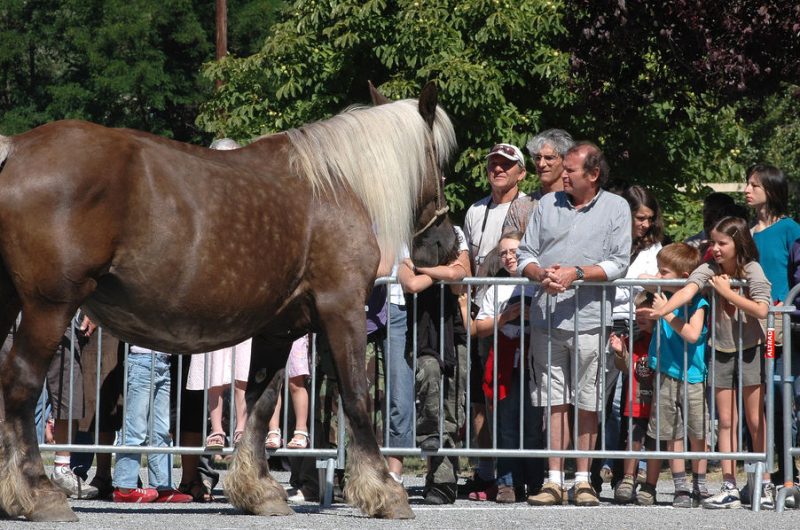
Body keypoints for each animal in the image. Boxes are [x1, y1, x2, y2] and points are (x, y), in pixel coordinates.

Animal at [0, 83, 456, 520]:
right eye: (442, 162)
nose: (445, 244)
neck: (337, 186)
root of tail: (16, 148)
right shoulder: (341, 307)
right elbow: (357, 396)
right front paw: (385, 491)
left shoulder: (279, 329)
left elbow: (260, 402)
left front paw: (259, 489)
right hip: (49, 306)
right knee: (21, 383)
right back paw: (38, 493)